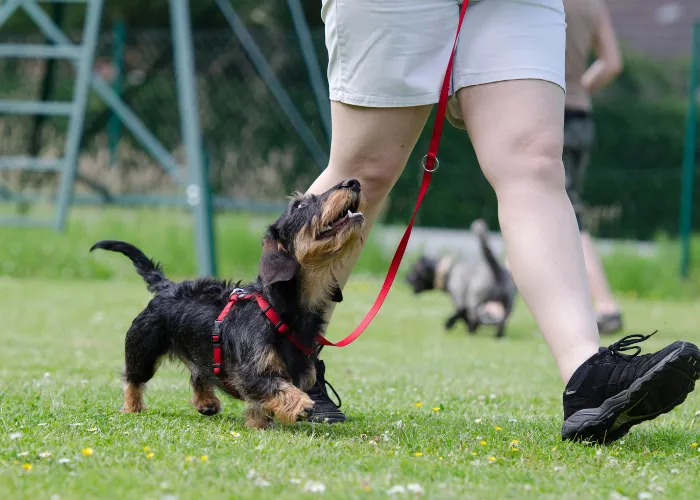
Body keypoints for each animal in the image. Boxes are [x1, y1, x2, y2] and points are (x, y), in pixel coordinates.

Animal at [91, 180, 366, 430]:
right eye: (299, 205)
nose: (353, 182)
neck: (278, 309)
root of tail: (167, 286)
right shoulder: (251, 372)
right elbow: (276, 387)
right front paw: (300, 404)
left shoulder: (301, 371)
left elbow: (264, 401)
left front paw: (259, 423)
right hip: (143, 349)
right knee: (133, 379)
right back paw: (132, 407)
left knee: (198, 373)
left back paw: (206, 402)